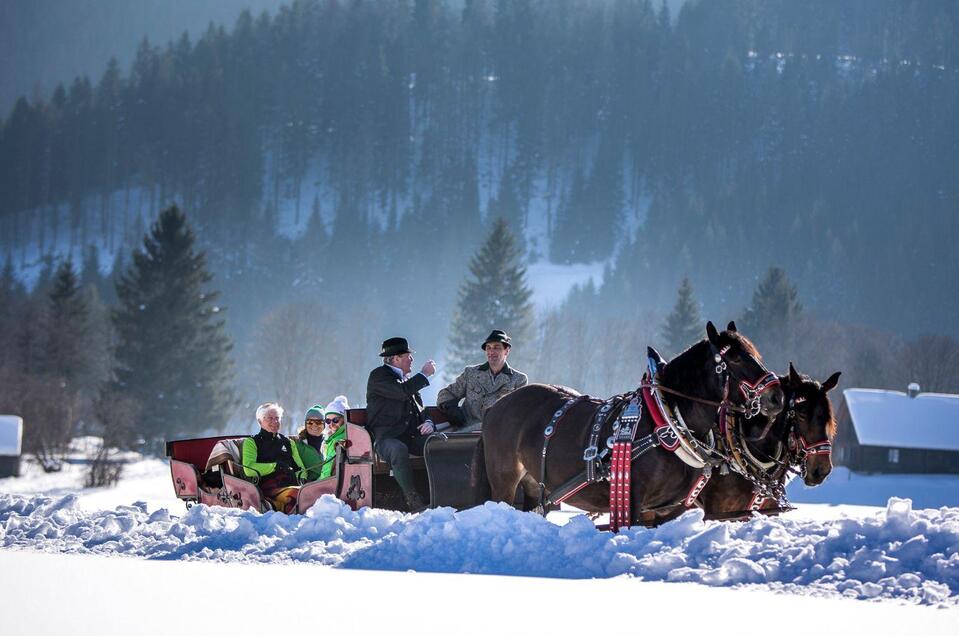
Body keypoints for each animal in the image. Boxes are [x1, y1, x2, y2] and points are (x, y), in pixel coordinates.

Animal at [474, 322, 788, 528]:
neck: (664, 422)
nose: (776, 397)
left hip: (533, 484)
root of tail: (496, 408)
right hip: (505, 478)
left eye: (756, 354)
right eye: (734, 358)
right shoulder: (632, 500)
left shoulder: (667, 509)